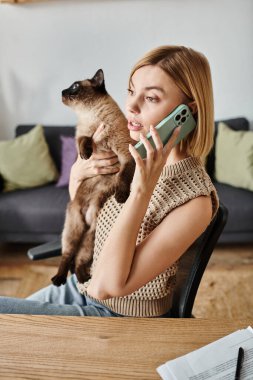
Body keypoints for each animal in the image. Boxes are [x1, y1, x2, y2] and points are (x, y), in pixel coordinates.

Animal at [51, 70, 135, 286]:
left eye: (74, 87)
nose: (62, 91)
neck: (90, 116)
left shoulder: (126, 155)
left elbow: (124, 176)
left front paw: (121, 196)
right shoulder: (81, 136)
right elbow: (84, 139)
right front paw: (85, 153)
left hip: (92, 233)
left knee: (79, 260)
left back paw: (83, 279)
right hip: (73, 230)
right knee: (67, 256)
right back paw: (59, 279)